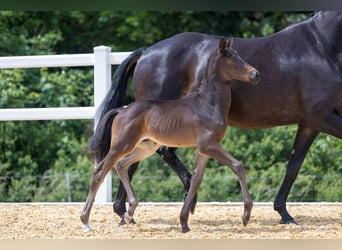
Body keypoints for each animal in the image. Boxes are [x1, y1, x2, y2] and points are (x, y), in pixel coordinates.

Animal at [93, 10, 342, 225]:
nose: (255, 74)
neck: (322, 47)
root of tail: (146, 53)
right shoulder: (321, 116)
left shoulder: (309, 124)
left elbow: (293, 167)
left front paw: (284, 213)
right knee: (138, 158)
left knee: (139, 158)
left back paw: (130, 211)